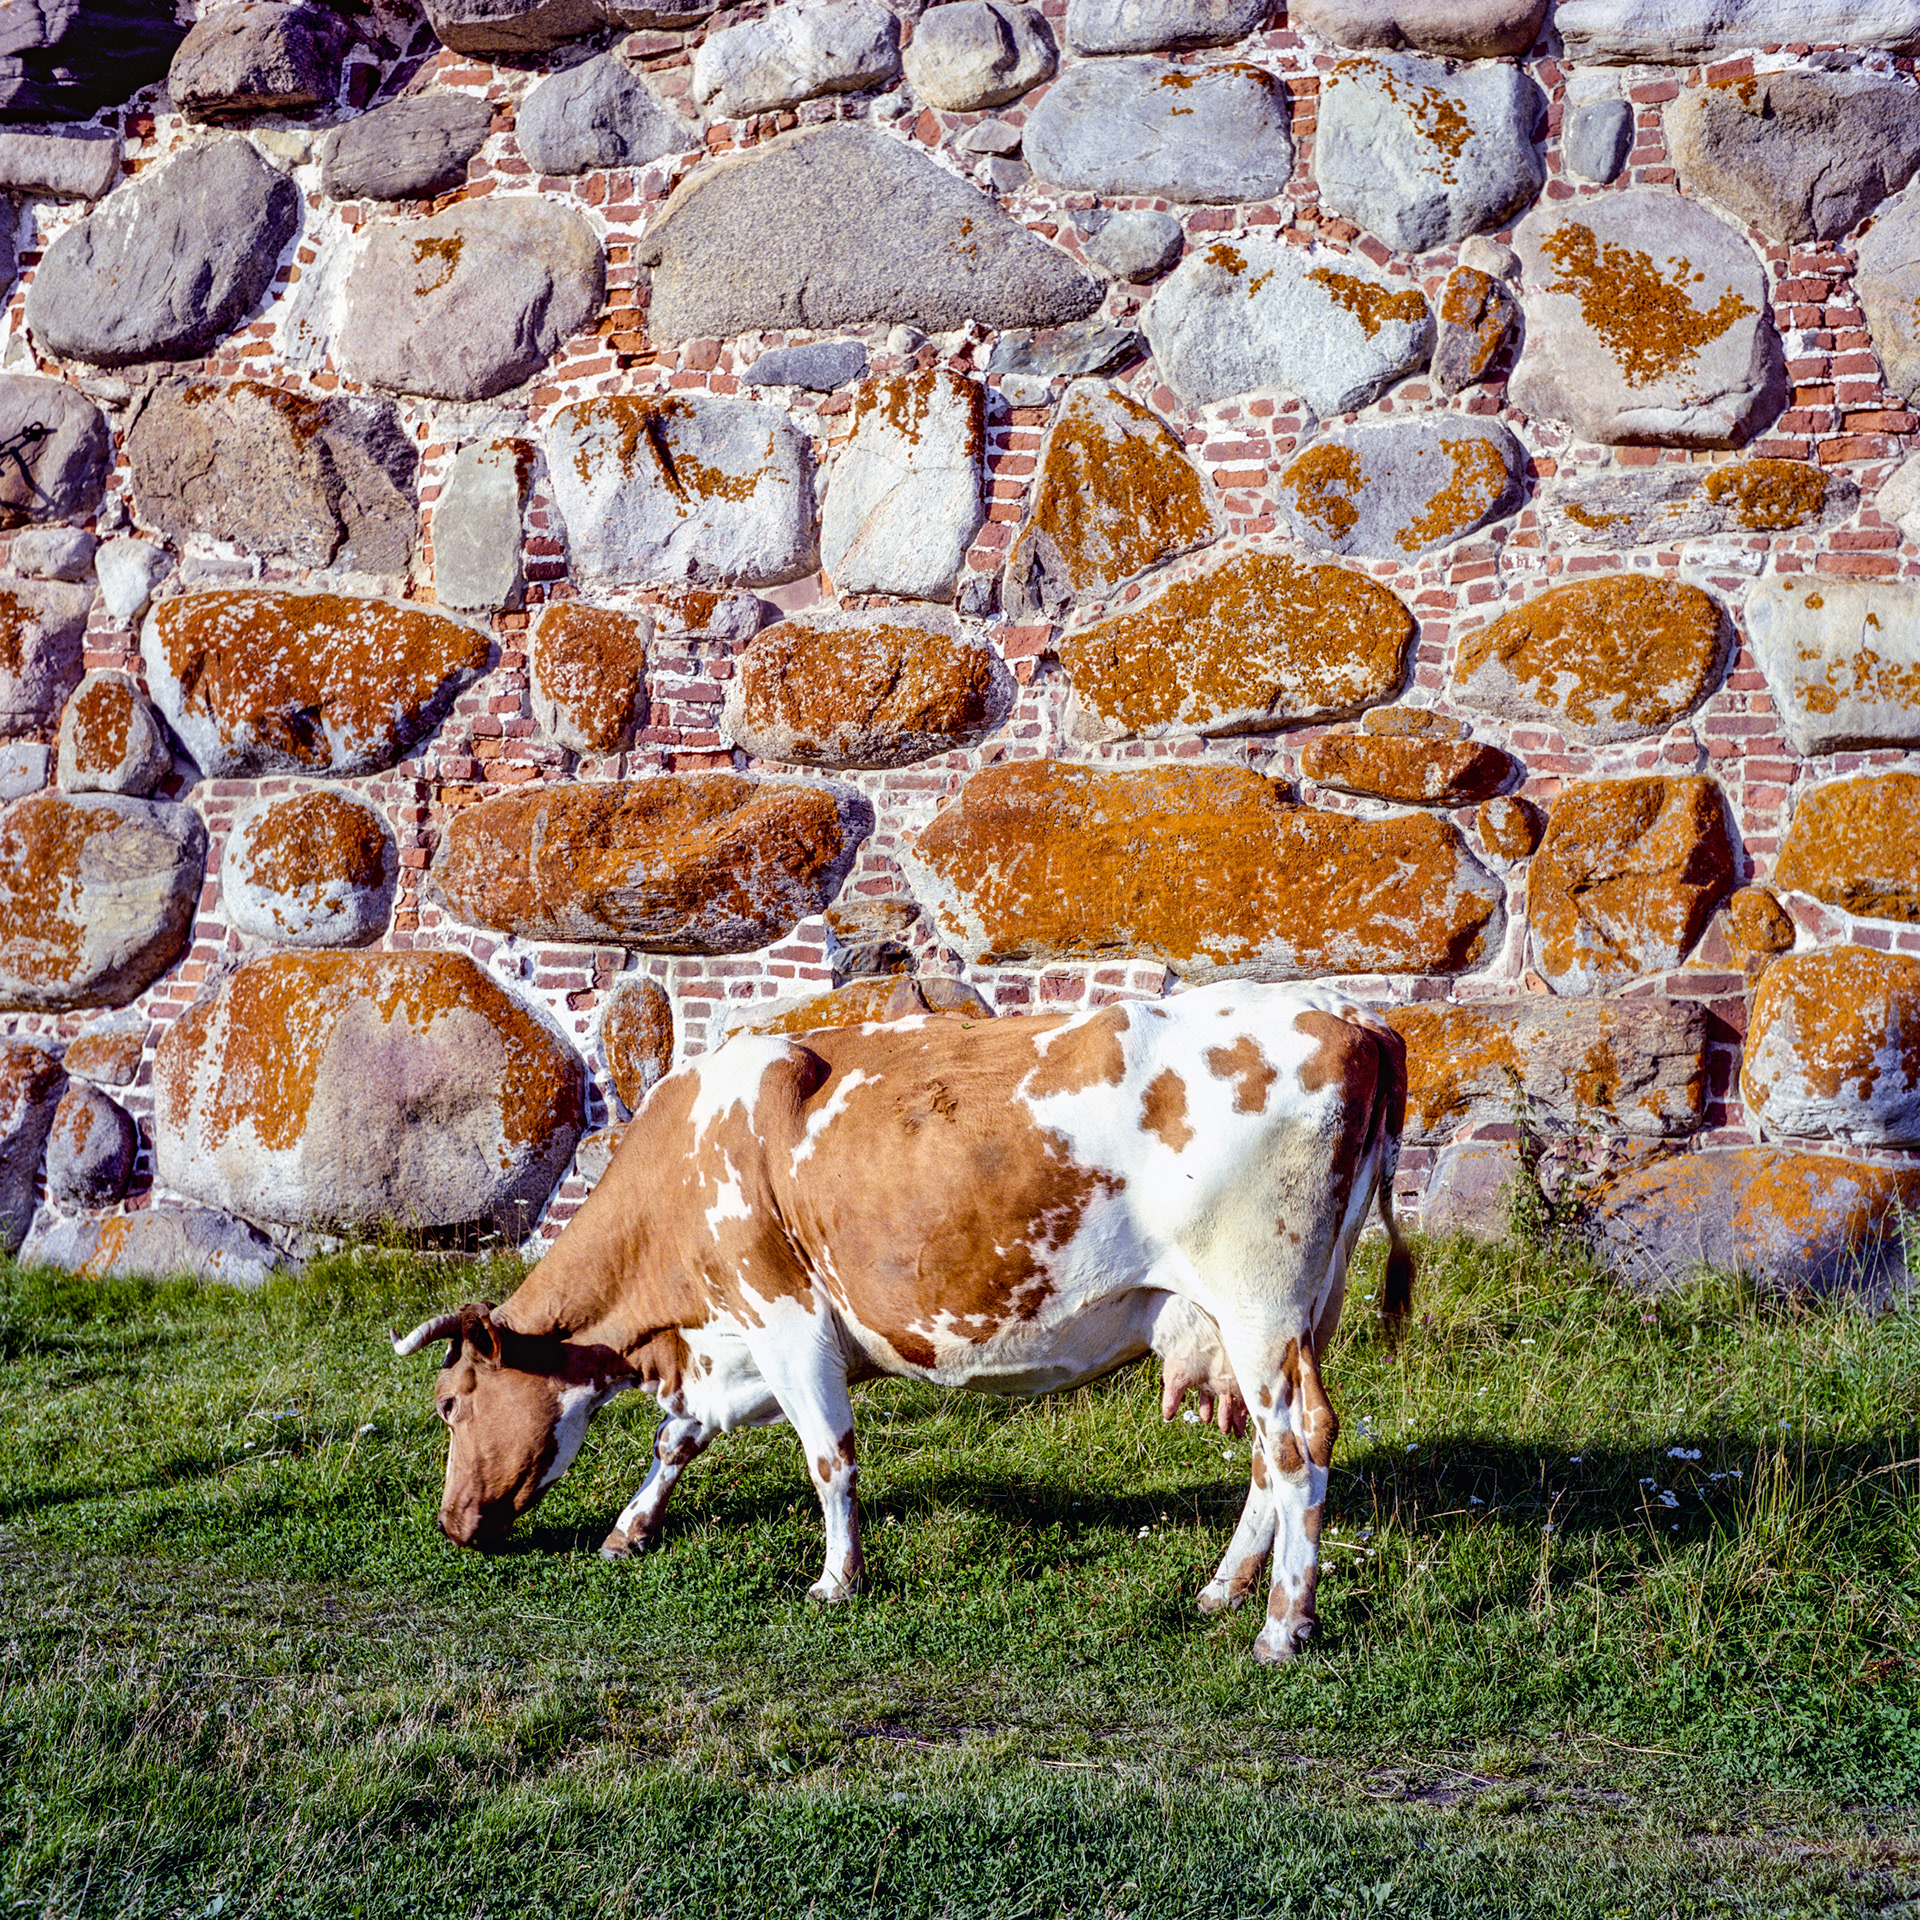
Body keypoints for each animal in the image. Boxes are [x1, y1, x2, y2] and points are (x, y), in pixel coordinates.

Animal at [394, 982, 1411, 1663]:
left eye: (449, 1403)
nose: (449, 1524)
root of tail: (1347, 1013)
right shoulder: (735, 1342)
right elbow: (678, 1435)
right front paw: (630, 1529)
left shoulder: (784, 1311)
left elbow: (828, 1456)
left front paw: (837, 1580)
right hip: (1296, 1312)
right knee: (1268, 1459)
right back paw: (1224, 1589)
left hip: (1259, 1303)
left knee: (1300, 1447)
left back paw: (1283, 1625)